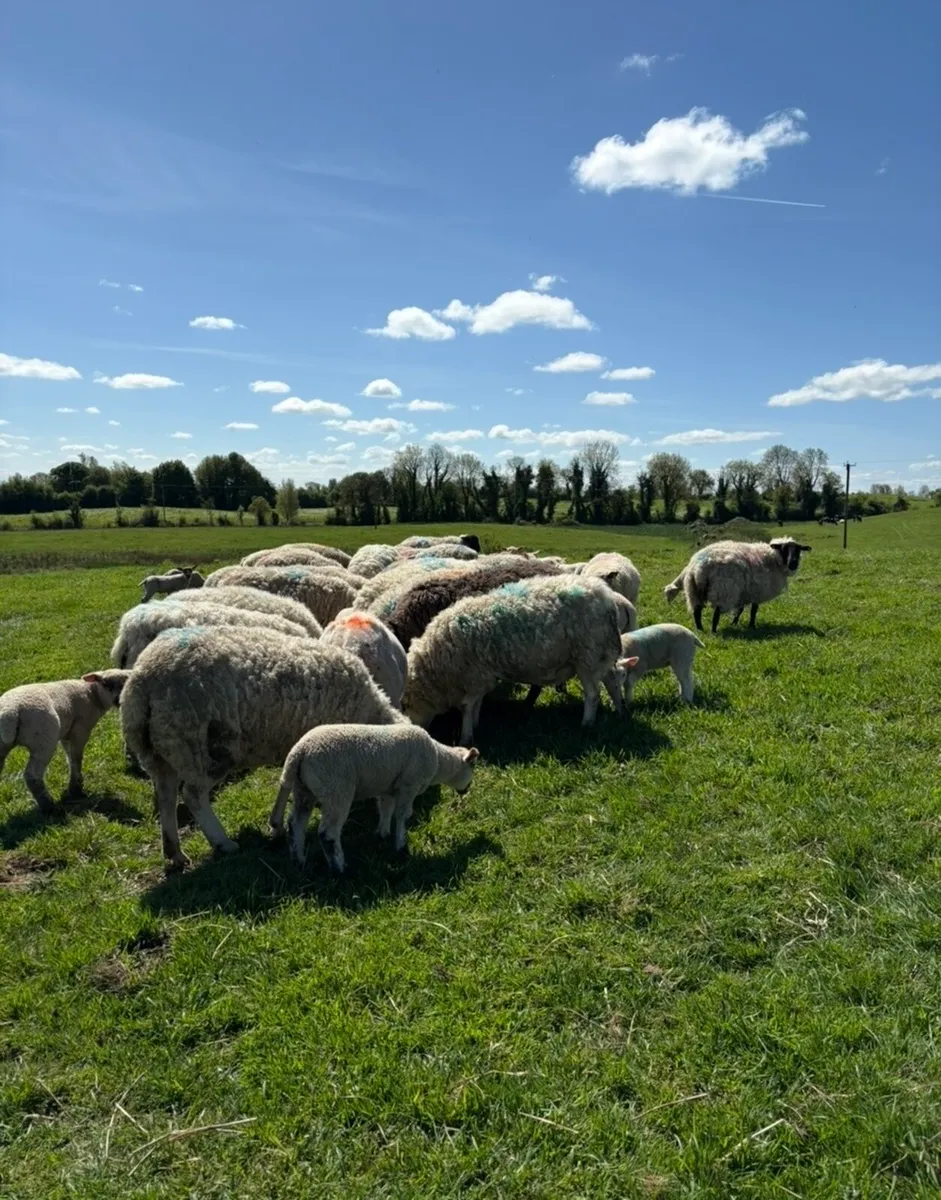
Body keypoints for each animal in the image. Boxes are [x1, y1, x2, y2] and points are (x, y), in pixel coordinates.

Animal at [0, 671, 129, 811]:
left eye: (126, 683)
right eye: (105, 684)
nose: (118, 700)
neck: (92, 694)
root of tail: (11, 711)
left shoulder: (67, 732)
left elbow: (70, 758)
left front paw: (76, 784)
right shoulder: (80, 729)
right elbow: (77, 758)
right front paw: (75, 789)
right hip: (43, 741)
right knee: (32, 776)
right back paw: (48, 805)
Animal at [122, 626, 409, 869]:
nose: (383, 834)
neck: (369, 715)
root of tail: (144, 680)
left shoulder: (297, 746)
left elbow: (285, 782)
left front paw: (276, 823)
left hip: (161, 750)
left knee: (166, 795)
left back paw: (174, 851)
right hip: (202, 747)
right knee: (193, 794)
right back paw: (222, 842)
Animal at [270, 724, 480, 872]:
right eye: (472, 767)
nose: (467, 790)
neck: (437, 761)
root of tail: (298, 752)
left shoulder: (388, 787)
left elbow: (385, 809)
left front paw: (383, 834)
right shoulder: (409, 785)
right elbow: (402, 816)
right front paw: (401, 847)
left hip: (304, 789)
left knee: (296, 824)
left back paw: (299, 860)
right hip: (336, 788)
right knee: (328, 833)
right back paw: (339, 868)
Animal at [403, 575, 636, 744]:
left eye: (404, 706)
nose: (416, 732)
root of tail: (607, 597)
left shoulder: (475, 674)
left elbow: (467, 706)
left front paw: (466, 737)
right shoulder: (481, 676)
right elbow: (477, 703)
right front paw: (476, 724)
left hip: (587, 656)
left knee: (593, 694)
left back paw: (587, 723)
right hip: (600, 653)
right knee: (612, 682)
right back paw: (620, 712)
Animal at [664, 537, 812, 632]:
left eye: (798, 550)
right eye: (784, 549)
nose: (793, 563)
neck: (773, 559)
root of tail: (698, 567)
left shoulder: (745, 592)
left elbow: (740, 609)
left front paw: (734, 623)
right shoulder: (757, 591)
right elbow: (753, 610)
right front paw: (751, 626)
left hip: (693, 590)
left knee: (697, 611)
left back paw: (700, 629)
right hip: (723, 590)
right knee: (716, 613)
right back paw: (714, 631)